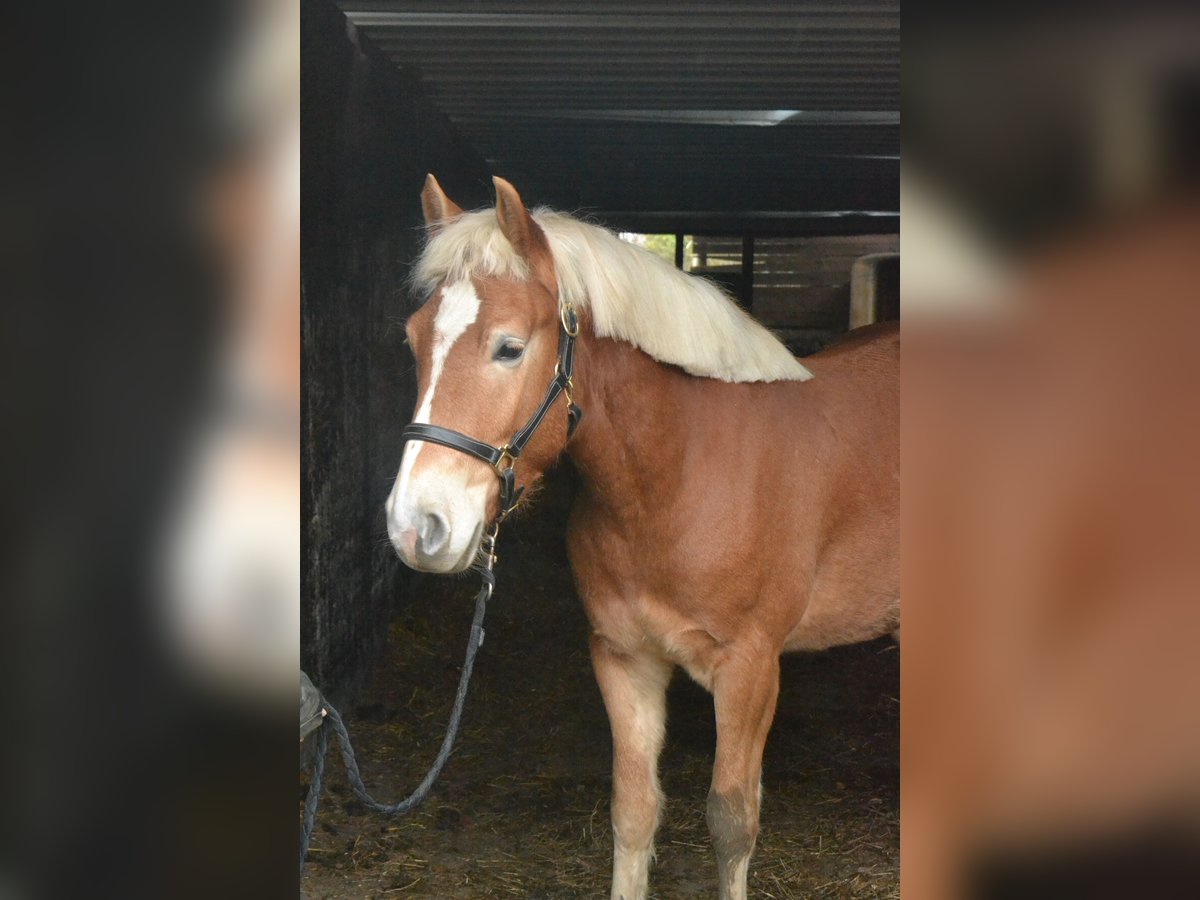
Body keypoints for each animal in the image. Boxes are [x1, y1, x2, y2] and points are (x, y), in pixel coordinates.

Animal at [386, 172, 902, 897]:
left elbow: (731, 822)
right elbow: (632, 811)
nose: (416, 527)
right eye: (412, 340)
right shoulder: (624, 660)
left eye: (509, 347)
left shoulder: (750, 673)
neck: (677, 474)